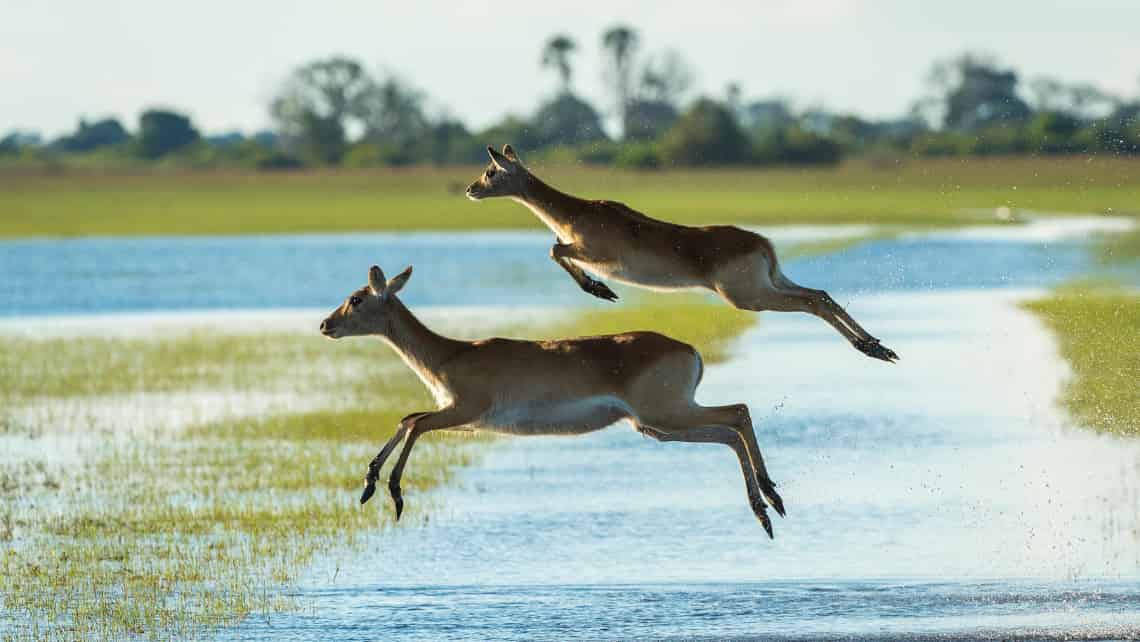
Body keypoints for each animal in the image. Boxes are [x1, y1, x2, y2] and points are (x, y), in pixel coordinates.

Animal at [319, 262, 784, 538]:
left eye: (356, 298)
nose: (326, 324)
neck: (450, 354)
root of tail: (690, 349)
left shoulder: (465, 410)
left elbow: (415, 422)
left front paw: (392, 493)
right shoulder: (463, 417)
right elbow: (408, 417)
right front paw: (368, 485)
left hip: (667, 414)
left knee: (737, 413)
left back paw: (769, 503)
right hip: (656, 426)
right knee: (730, 427)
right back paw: (767, 506)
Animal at [462, 147, 898, 367]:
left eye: (491, 170)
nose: (470, 189)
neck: (576, 214)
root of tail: (762, 242)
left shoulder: (592, 252)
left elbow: (554, 249)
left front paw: (601, 290)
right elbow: (555, 248)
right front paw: (602, 291)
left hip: (750, 297)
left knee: (812, 302)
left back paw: (873, 349)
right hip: (773, 281)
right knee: (821, 293)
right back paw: (878, 347)